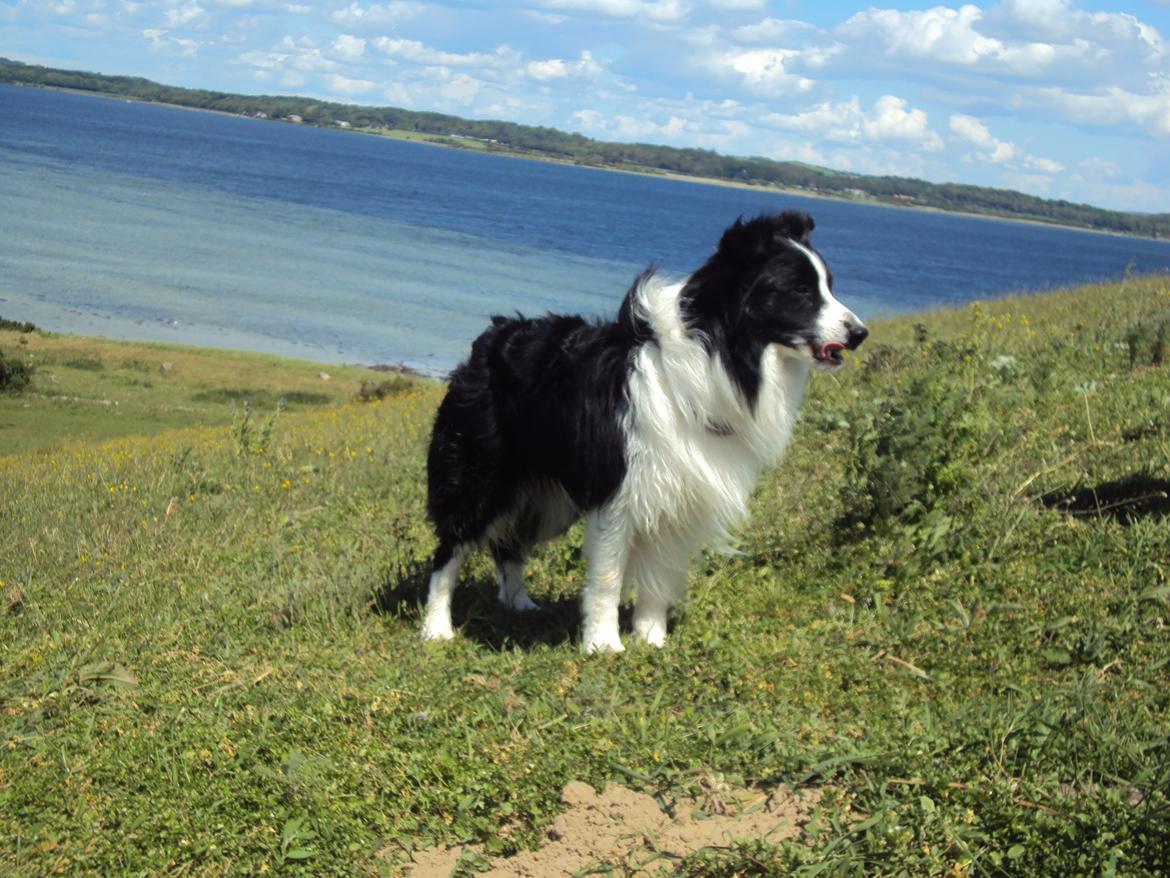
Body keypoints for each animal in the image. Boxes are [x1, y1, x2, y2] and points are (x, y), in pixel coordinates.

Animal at [423, 211, 870, 655]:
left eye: (829, 286)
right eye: (800, 290)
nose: (860, 333)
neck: (716, 357)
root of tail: (492, 336)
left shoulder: (677, 494)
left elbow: (660, 577)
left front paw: (652, 639)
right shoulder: (619, 491)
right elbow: (607, 577)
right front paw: (604, 645)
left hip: (545, 494)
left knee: (511, 546)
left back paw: (519, 603)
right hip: (478, 475)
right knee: (451, 548)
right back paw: (437, 627)